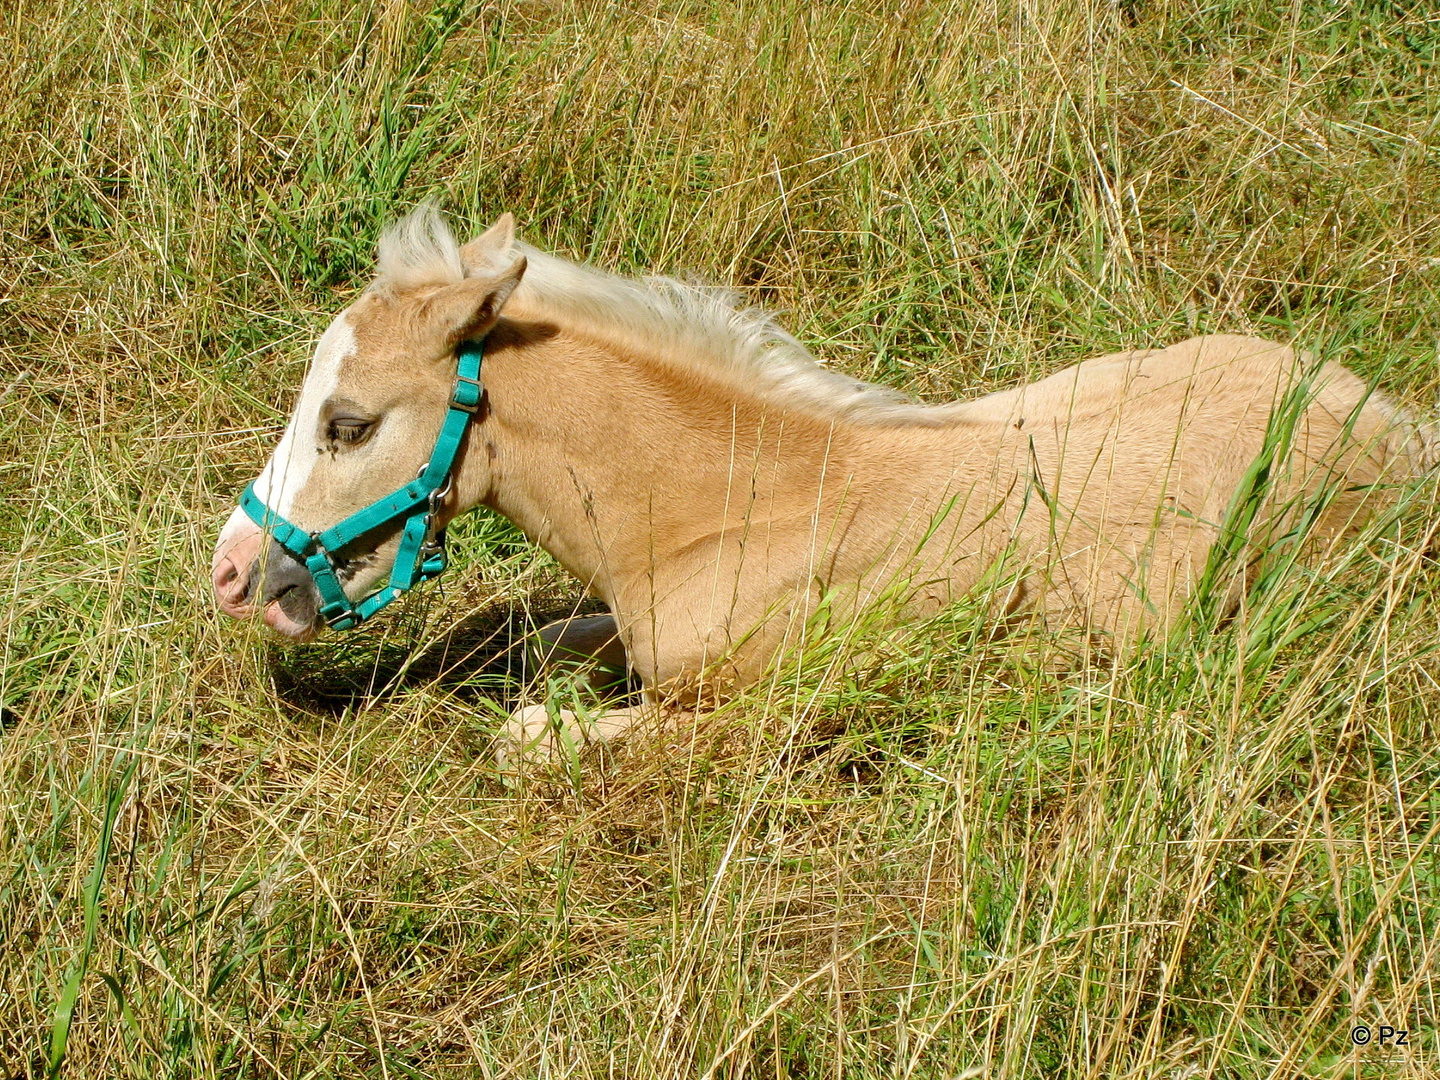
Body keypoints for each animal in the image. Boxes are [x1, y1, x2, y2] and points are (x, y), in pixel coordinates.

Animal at [210, 207, 1428, 766]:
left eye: (349, 424)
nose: (231, 572)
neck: (733, 510)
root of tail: (1397, 429)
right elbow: (545, 639)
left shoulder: (763, 714)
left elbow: (533, 737)